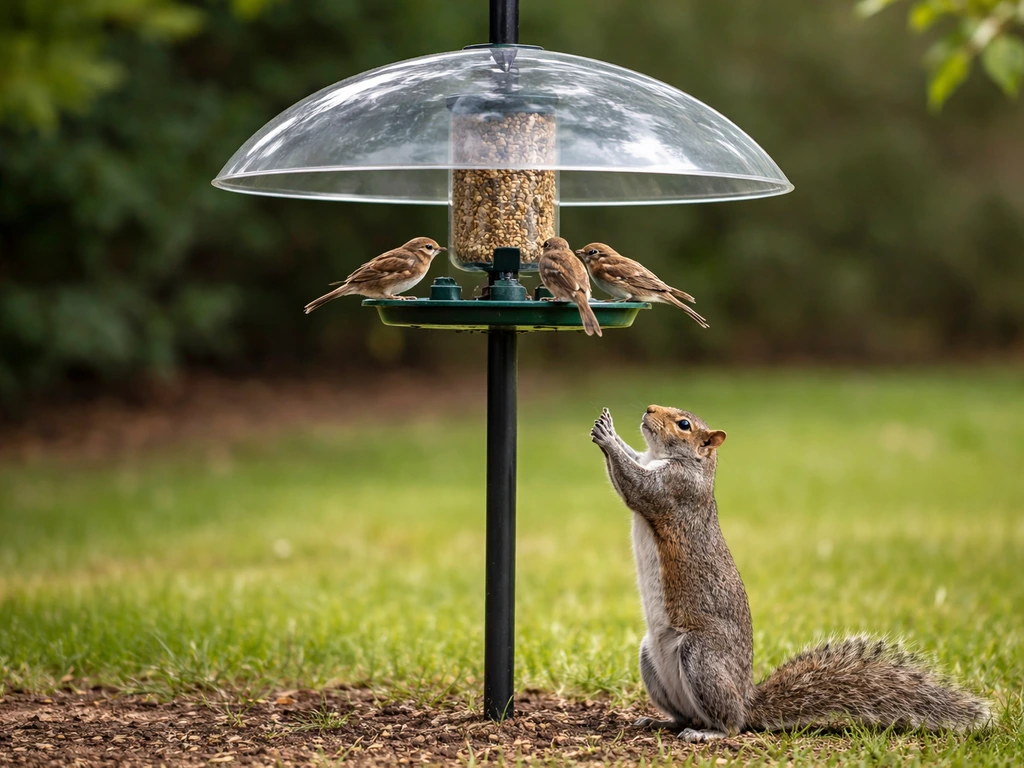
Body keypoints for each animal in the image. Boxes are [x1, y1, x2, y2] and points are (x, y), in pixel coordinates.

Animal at [590, 405, 991, 742]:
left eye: (684, 424)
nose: (648, 409)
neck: (667, 458)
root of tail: (746, 701)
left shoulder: (673, 490)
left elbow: (637, 488)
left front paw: (608, 436)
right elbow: (631, 465)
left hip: (702, 658)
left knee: (729, 723)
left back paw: (709, 732)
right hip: (651, 656)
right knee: (686, 715)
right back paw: (661, 721)